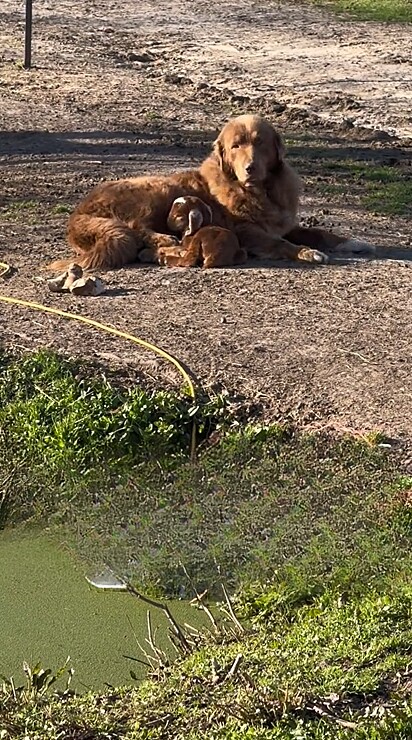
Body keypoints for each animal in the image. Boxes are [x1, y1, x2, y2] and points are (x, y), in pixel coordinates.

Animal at [49, 112, 376, 268]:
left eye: (260, 143)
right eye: (236, 147)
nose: (250, 167)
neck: (260, 192)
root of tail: (78, 213)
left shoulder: (281, 223)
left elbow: (318, 232)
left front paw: (353, 242)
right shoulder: (248, 231)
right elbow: (283, 244)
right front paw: (307, 253)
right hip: (153, 192)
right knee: (135, 229)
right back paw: (164, 241)